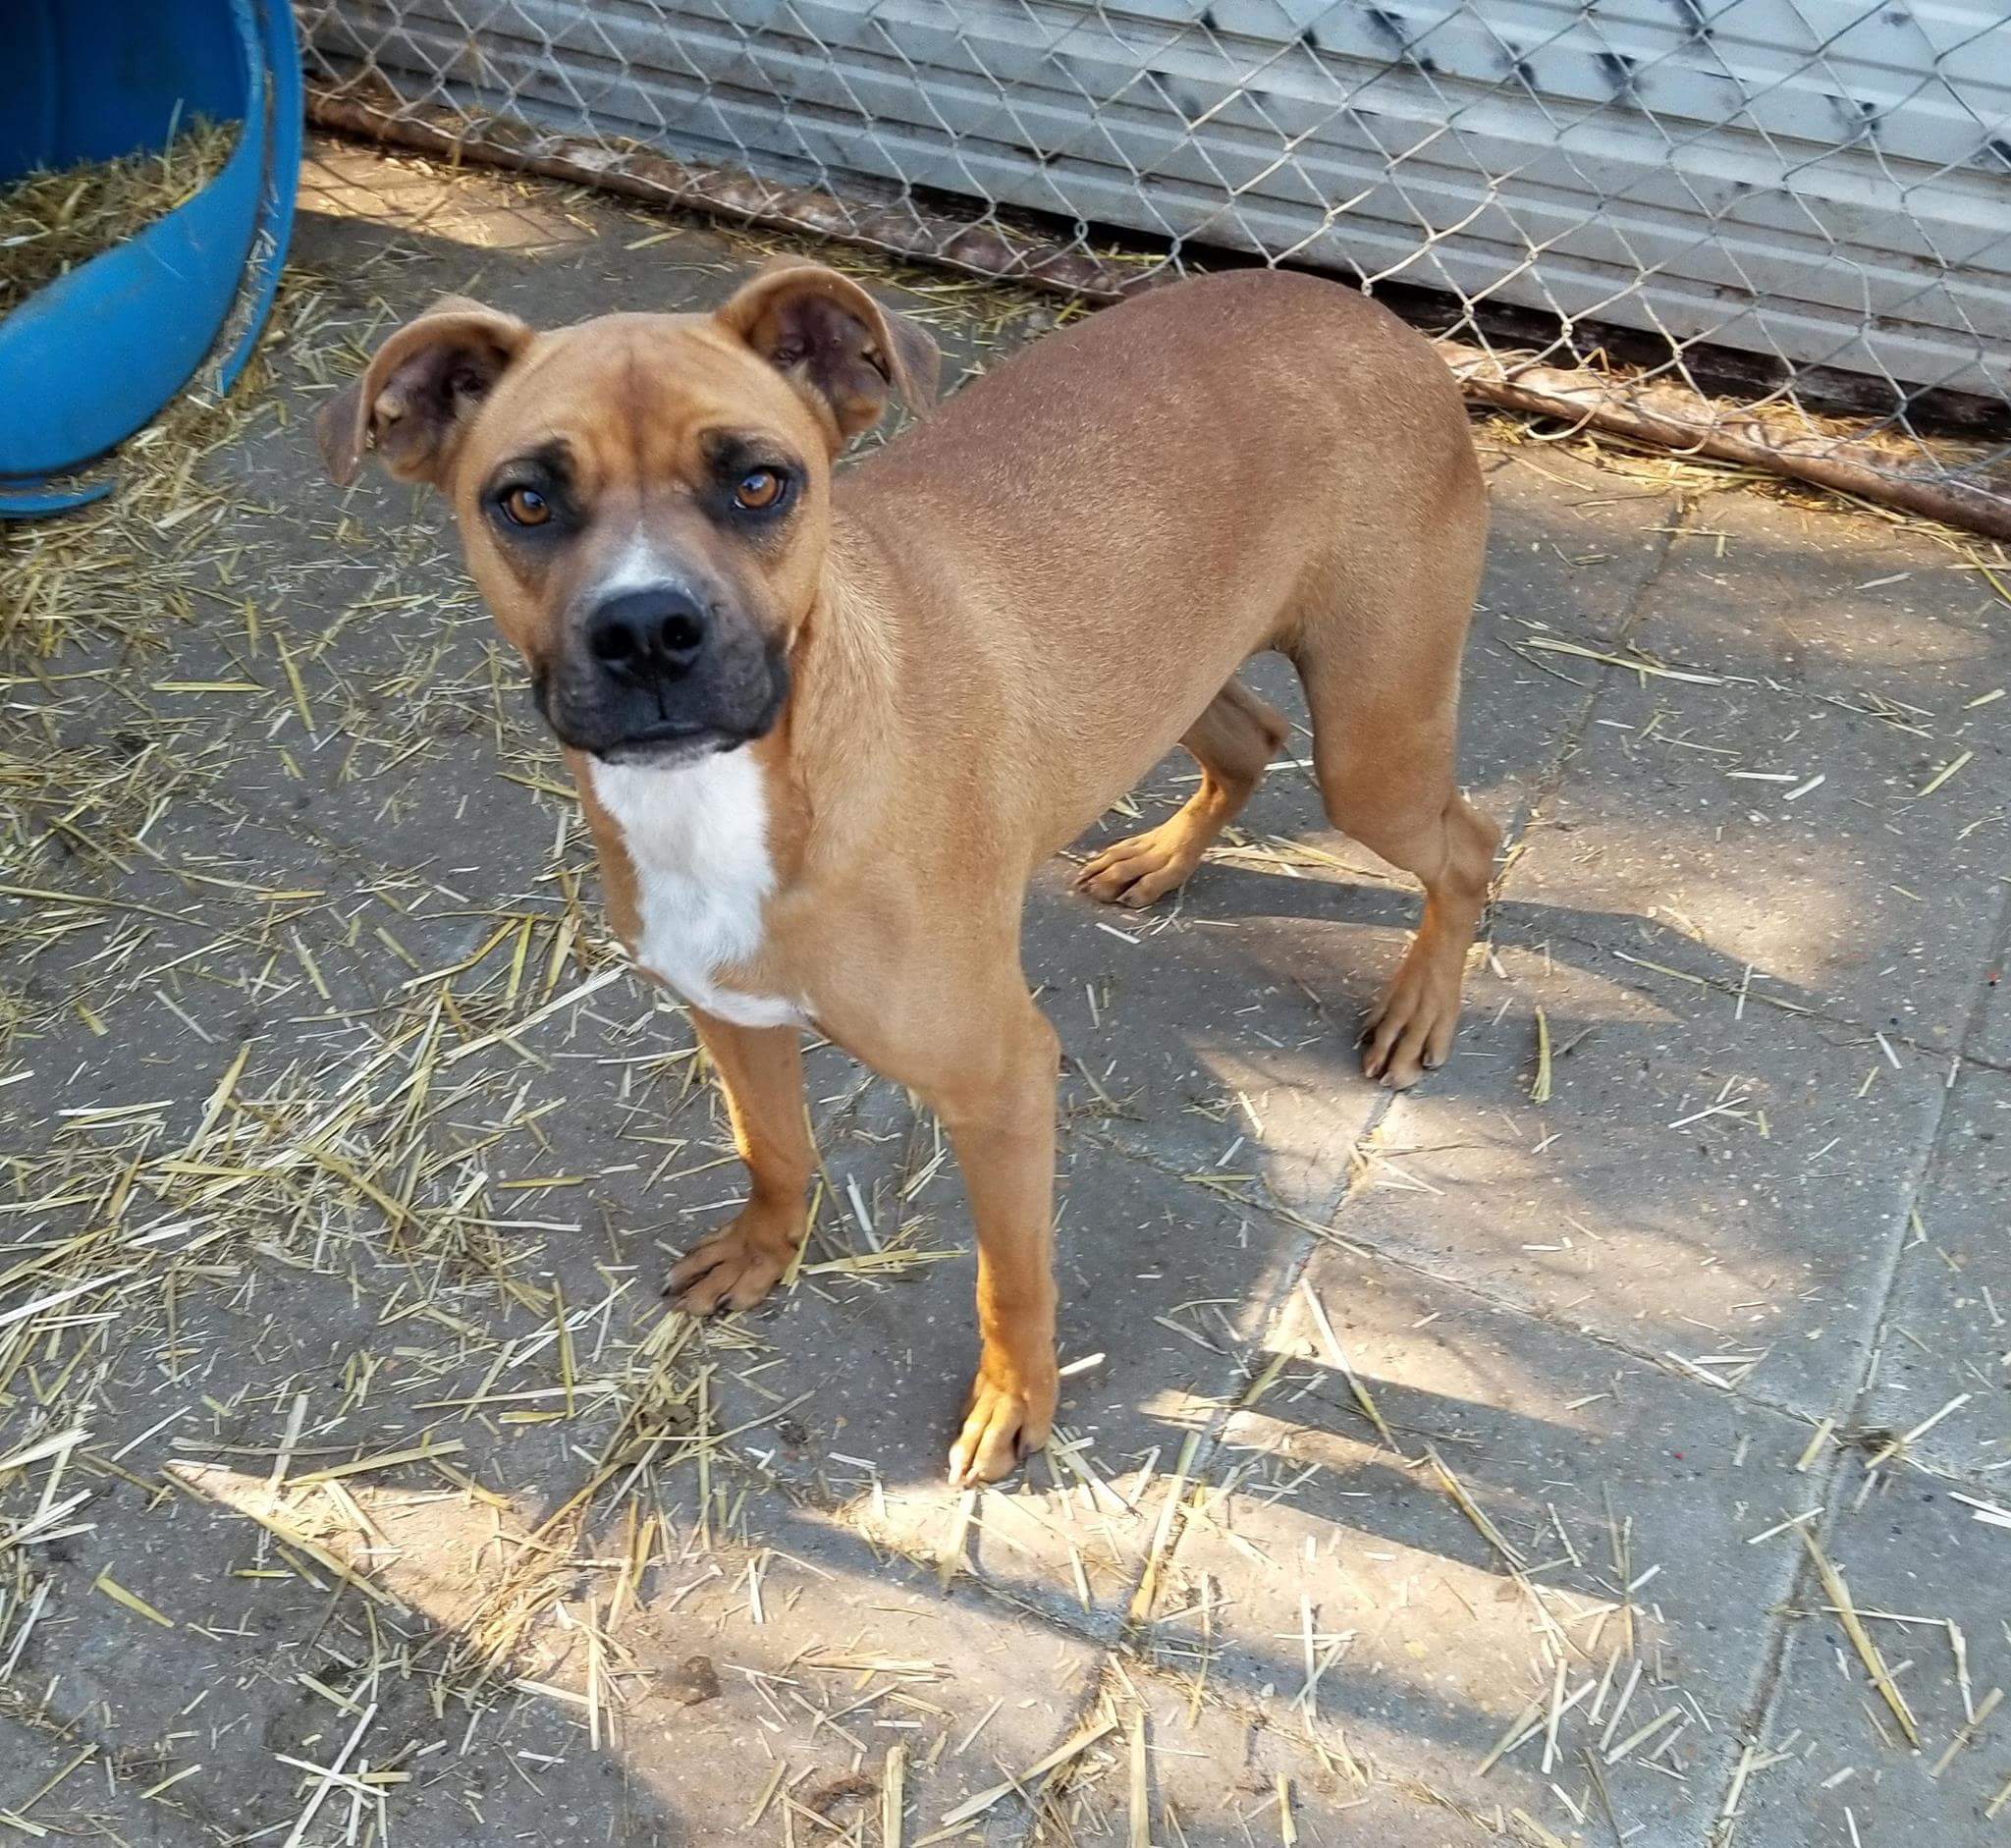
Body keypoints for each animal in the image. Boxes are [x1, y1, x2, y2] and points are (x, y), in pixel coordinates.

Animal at [321, 263, 1503, 1488]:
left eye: (758, 482)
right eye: (523, 502)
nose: (647, 629)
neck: (743, 793)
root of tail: (1366, 313)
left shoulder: (1004, 1083)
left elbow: (1011, 1277)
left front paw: (1015, 1400)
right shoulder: (728, 1013)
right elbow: (773, 1151)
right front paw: (764, 1251)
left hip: (1371, 748)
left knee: (1467, 845)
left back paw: (1417, 1008)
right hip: (1181, 674)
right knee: (1248, 738)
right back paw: (1159, 861)